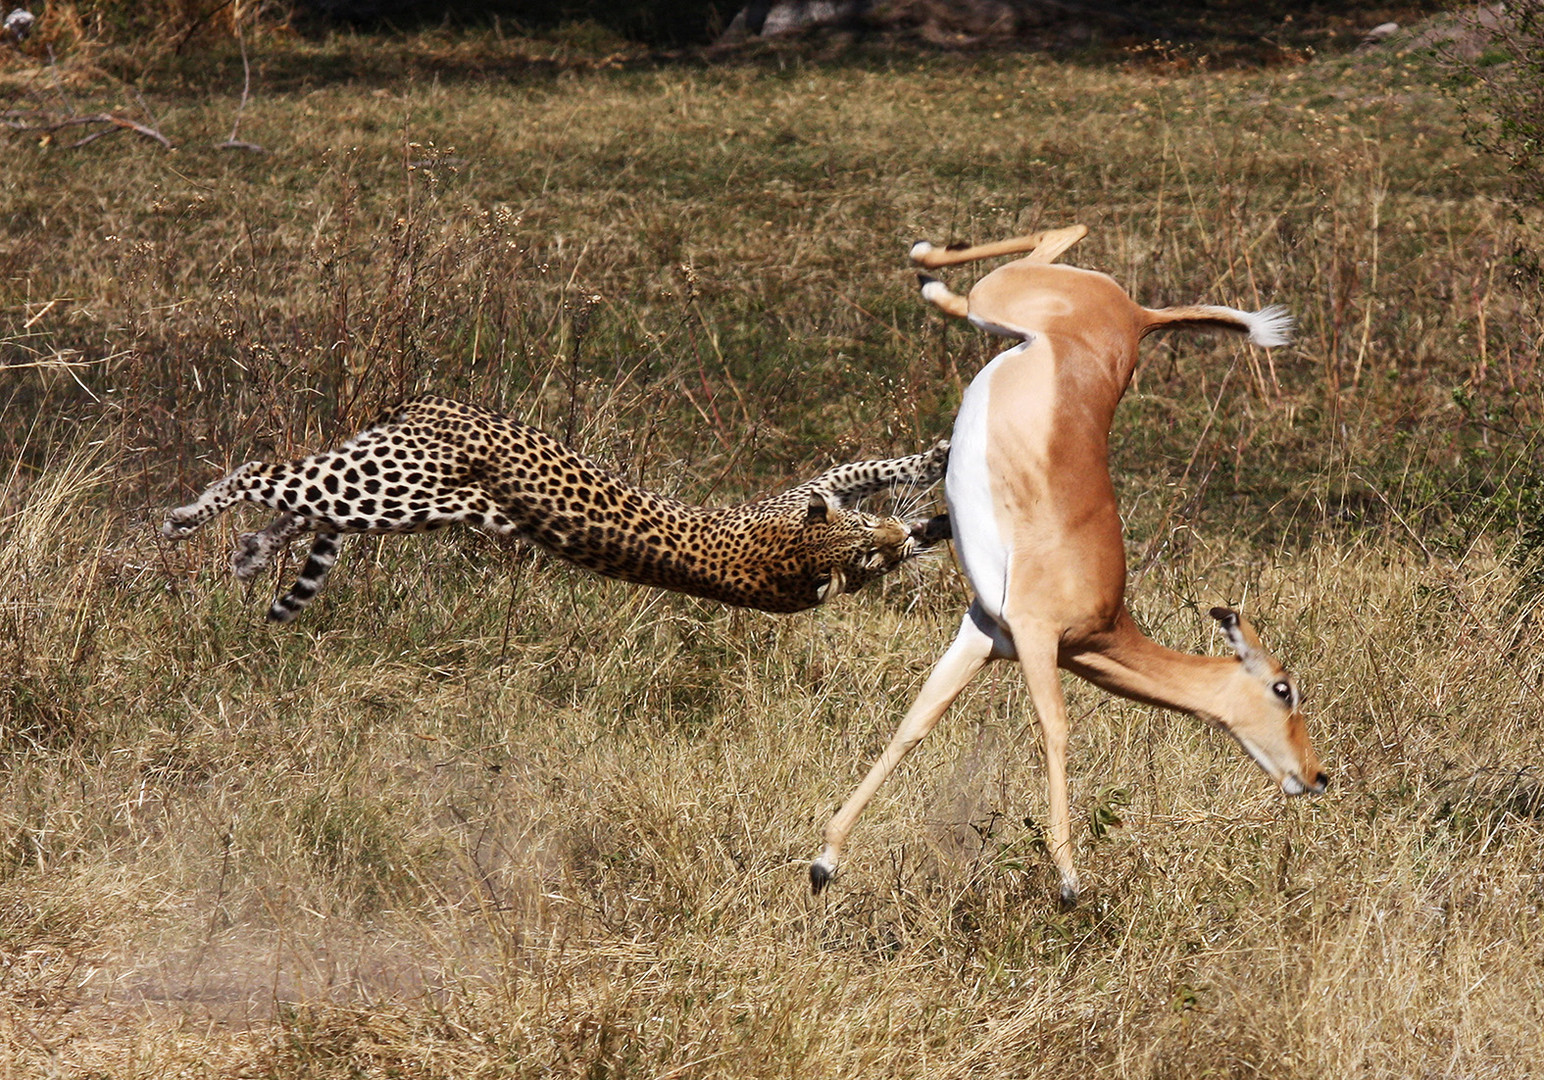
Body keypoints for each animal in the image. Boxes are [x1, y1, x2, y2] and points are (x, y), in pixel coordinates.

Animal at [159, 398, 951, 621]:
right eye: (864, 543)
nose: (887, 537)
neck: (790, 556)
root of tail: (436, 403)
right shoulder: (803, 491)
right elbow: (869, 467)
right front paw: (936, 460)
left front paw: (932, 520)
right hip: (392, 480)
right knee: (263, 470)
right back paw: (186, 519)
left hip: (396, 499)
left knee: (304, 507)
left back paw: (251, 551)